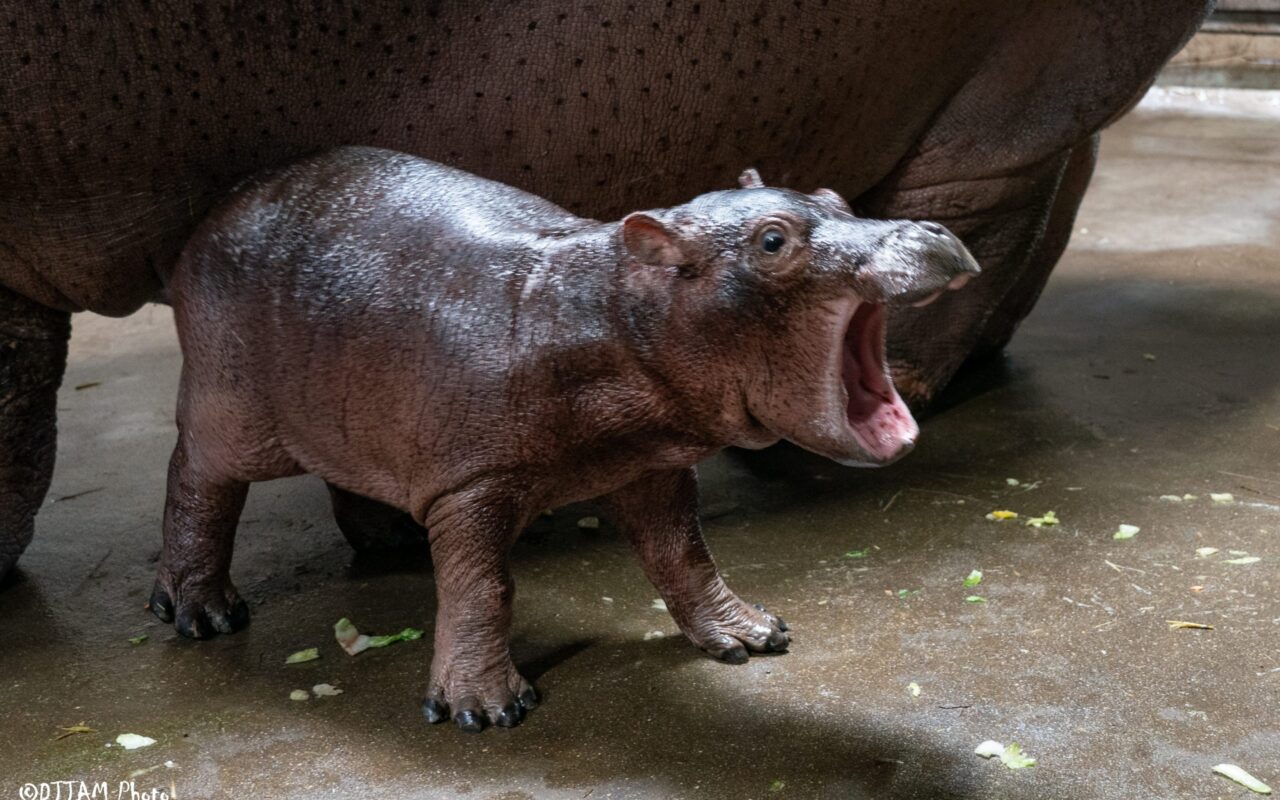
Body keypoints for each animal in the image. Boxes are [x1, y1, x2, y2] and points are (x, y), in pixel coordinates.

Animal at [151, 148, 977, 730]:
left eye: (834, 197)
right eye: (773, 240)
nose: (932, 230)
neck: (613, 309)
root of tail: (220, 207)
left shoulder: (651, 466)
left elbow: (684, 553)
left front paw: (751, 635)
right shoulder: (473, 486)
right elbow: (483, 587)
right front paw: (484, 710)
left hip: (349, 407)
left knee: (345, 471)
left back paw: (393, 541)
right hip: (232, 411)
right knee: (195, 479)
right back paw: (201, 615)